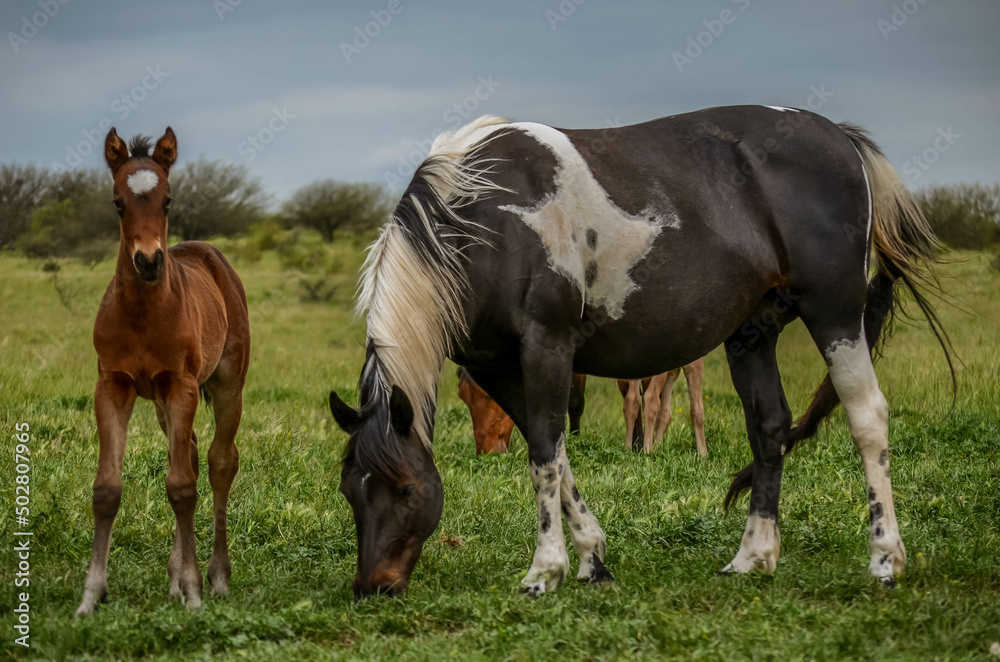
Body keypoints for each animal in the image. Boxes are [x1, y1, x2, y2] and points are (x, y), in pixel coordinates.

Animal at [76, 128, 252, 616]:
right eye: (117, 201)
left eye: (168, 199)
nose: (149, 261)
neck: (143, 314)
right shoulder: (112, 386)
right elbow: (107, 489)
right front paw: (91, 595)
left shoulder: (182, 385)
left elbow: (182, 487)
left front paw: (193, 593)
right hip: (159, 401)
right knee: (188, 451)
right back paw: (174, 578)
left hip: (226, 386)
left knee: (218, 462)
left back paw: (216, 577)